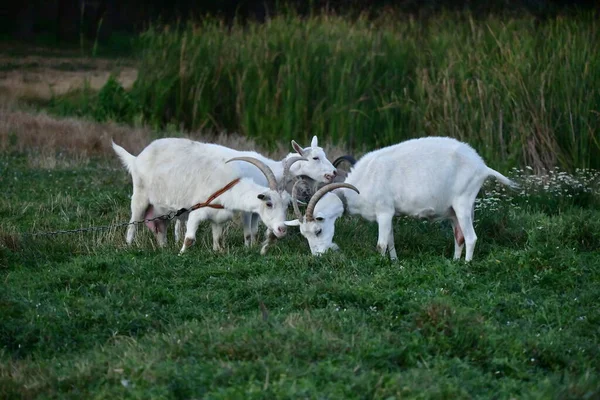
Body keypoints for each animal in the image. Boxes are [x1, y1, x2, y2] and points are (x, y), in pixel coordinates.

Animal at [112, 138, 300, 255]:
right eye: (269, 203)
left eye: (287, 205)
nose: (282, 230)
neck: (228, 186)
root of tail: (136, 158)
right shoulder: (197, 211)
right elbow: (189, 239)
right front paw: (180, 254)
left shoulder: (218, 217)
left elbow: (217, 239)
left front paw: (217, 251)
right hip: (140, 196)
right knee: (133, 224)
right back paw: (129, 246)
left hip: (161, 211)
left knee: (160, 229)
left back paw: (163, 247)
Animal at [288, 137, 516, 262]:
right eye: (304, 235)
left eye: (318, 230)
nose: (318, 257)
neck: (361, 185)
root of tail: (482, 167)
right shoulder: (388, 216)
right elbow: (390, 241)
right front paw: (395, 262)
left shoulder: (384, 211)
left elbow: (381, 244)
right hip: (453, 210)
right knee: (459, 236)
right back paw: (455, 262)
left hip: (463, 202)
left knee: (470, 237)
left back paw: (467, 266)